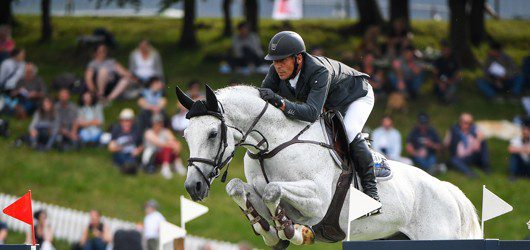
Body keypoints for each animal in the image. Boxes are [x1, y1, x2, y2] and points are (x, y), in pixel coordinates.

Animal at [175, 84, 480, 248]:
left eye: (213, 133)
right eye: (186, 135)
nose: (193, 187)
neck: (272, 146)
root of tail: (450, 192)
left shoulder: (318, 201)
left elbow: (275, 190)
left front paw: (292, 231)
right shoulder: (256, 190)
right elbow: (239, 189)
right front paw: (270, 232)